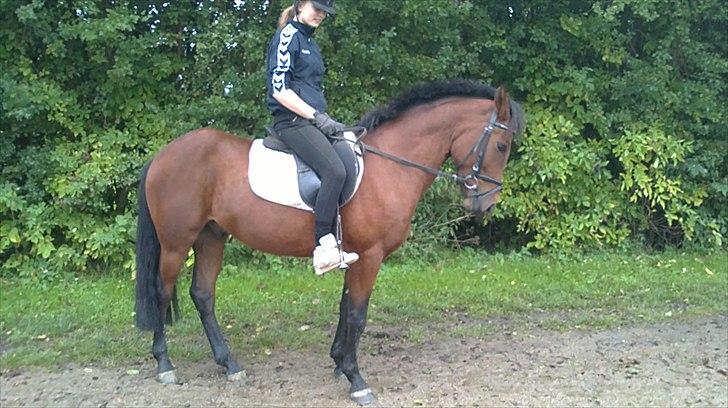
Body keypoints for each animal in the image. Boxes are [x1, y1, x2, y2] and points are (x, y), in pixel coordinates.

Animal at [134, 79, 525, 405]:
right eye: (501, 145)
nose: (484, 205)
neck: (389, 166)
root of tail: (163, 155)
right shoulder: (370, 255)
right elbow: (357, 314)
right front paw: (356, 380)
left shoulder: (352, 254)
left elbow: (344, 307)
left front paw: (338, 362)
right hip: (176, 243)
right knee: (162, 293)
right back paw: (165, 365)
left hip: (211, 237)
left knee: (203, 295)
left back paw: (229, 364)